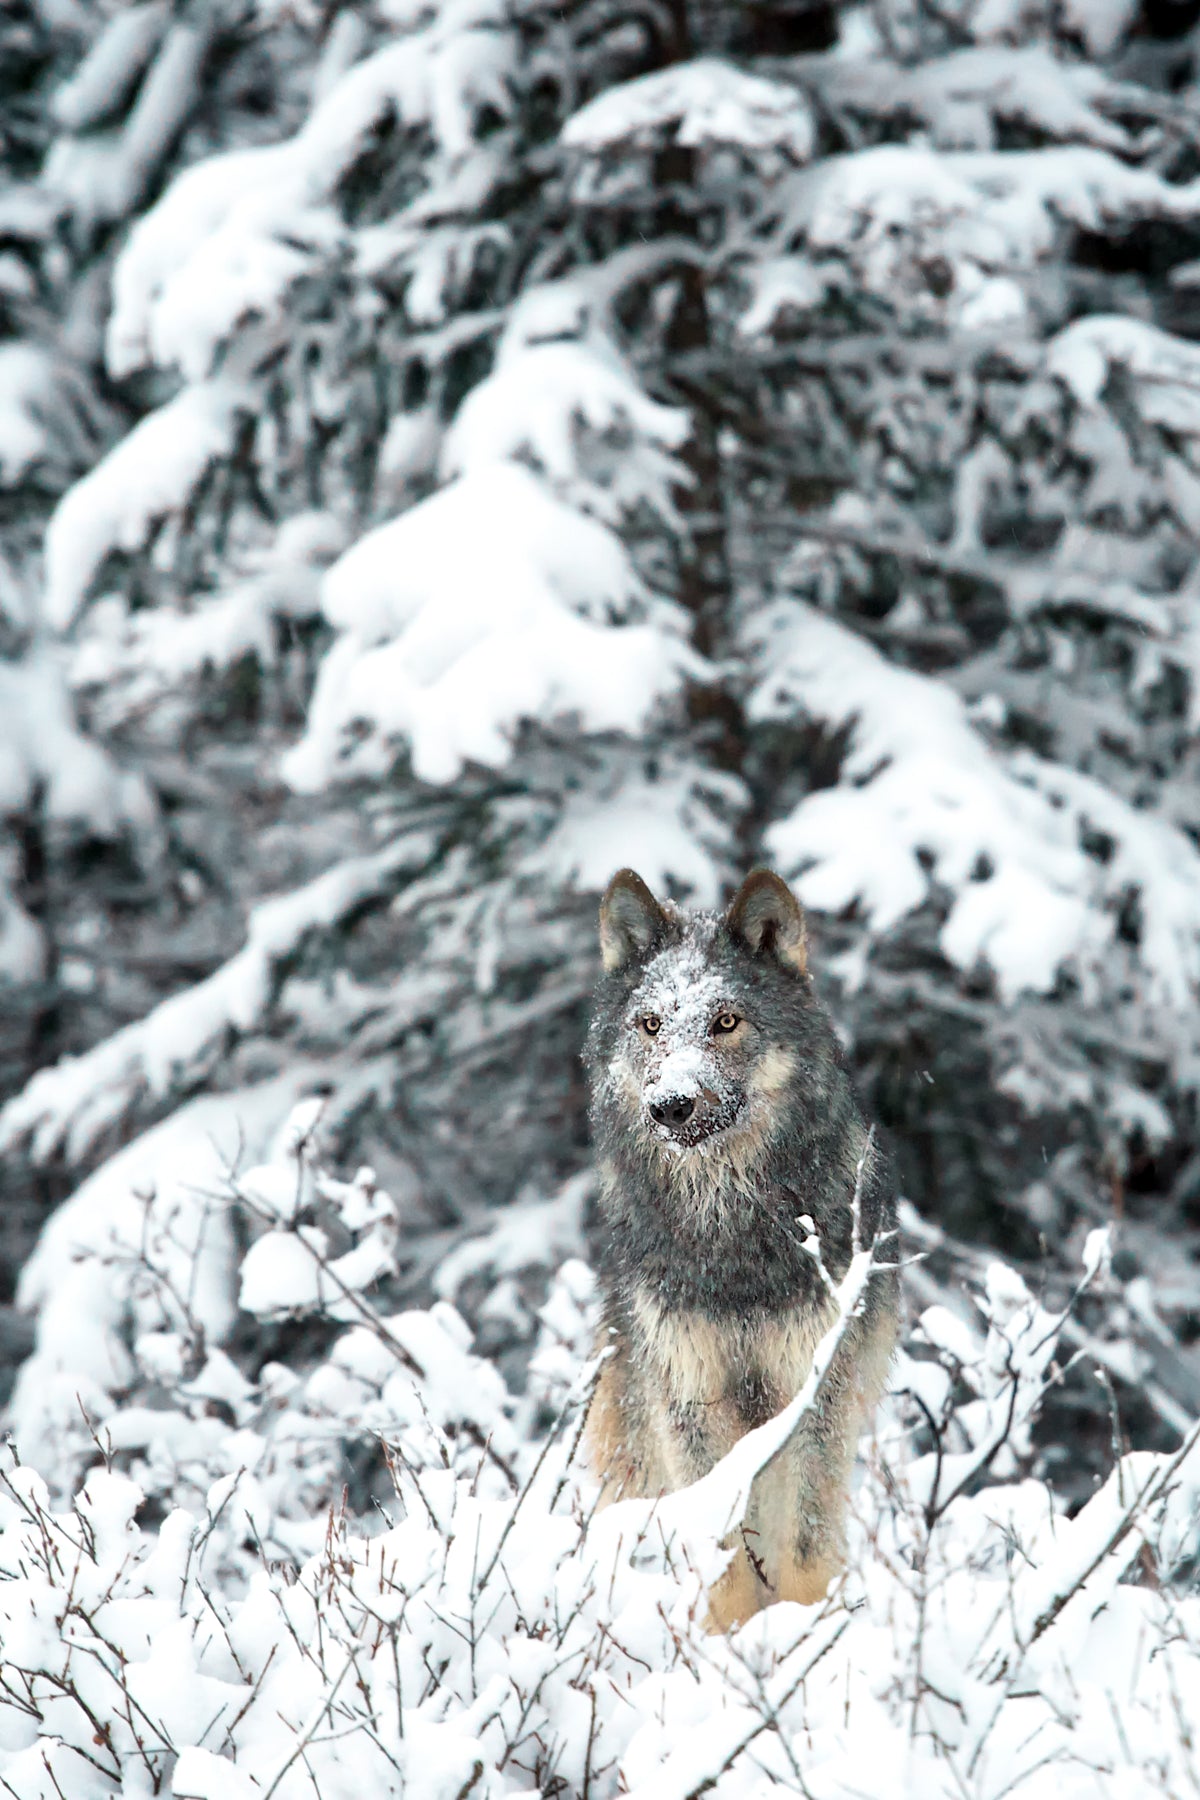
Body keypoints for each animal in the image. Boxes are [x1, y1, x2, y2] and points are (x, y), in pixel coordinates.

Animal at [583, 867, 899, 1630]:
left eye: (725, 1021)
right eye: (650, 1024)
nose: (671, 1105)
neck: (731, 1245)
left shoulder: (817, 1393)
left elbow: (807, 1546)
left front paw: (807, 1635)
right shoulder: (689, 1400)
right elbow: (720, 1545)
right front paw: (728, 1637)